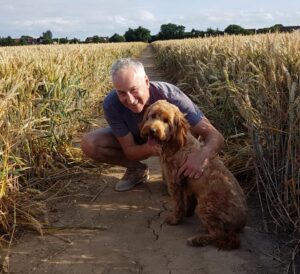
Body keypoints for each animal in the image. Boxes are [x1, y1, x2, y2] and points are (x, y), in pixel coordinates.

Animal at [140, 99, 246, 249]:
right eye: (153, 115)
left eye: (166, 121)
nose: (152, 130)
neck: (177, 143)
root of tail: (242, 221)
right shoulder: (186, 183)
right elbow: (188, 200)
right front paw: (187, 213)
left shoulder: (174, 181)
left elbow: (178, 203)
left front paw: (175, 219)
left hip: (206, 206)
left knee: (219, 235)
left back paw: (197, 239)